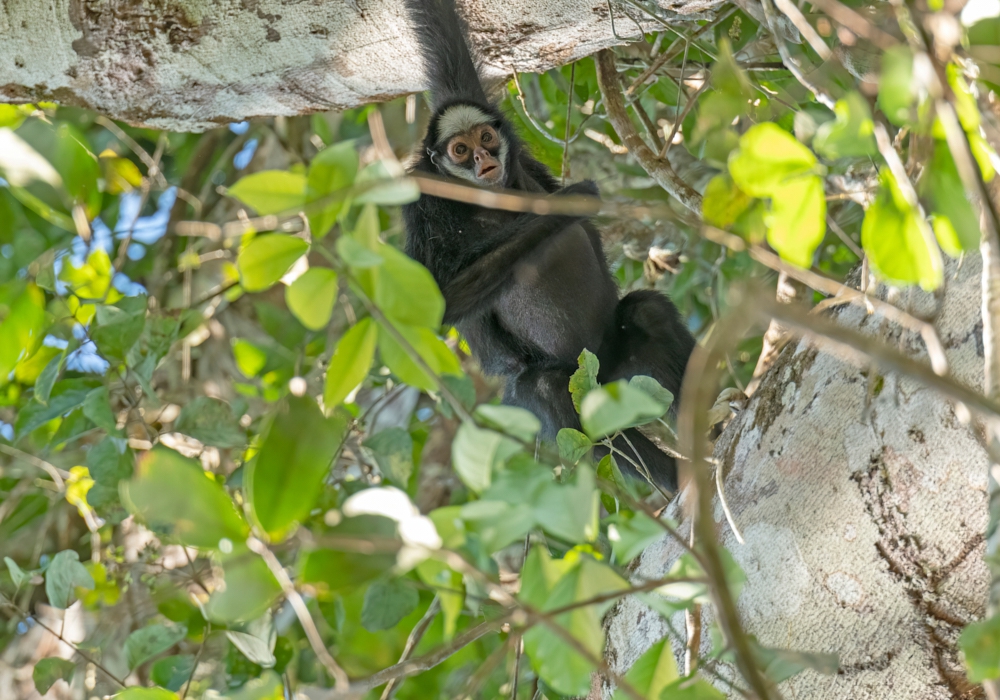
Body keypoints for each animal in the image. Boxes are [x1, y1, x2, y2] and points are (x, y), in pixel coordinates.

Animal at [400, 0, 696, 490]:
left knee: (646, 312)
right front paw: (566, 206)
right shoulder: (424, 203)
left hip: (618, 362)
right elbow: (438, 302)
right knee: (546, 387)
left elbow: (443, 38)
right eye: (460, 150)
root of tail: (601, 368)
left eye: (485, 139)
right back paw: (675, 481)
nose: (481, 159)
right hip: (573, 381)